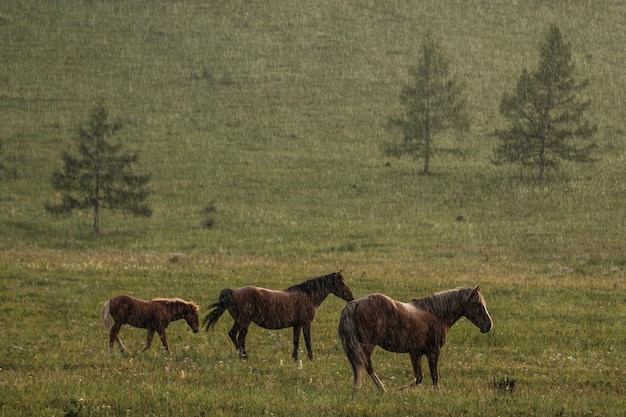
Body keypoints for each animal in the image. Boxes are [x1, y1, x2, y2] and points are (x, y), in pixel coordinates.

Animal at [204, 272, 354, 360]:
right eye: (341, 282)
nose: (351, 297)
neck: (307, 295)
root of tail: (233, 292)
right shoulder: (306, 323)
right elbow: (307, 340)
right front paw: (311, 358)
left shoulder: (297, 325)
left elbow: (296, 341)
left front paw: (295, 358)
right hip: (244, 322)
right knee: (240, 337)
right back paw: (244, 356)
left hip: (240, 321)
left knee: (232, 334)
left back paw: (240, 355)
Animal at [336, 286, 492, 390]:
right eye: (478, 304)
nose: (488, 325)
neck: (436, 315)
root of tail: (355, 303)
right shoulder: (433, 352)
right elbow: (434, 376)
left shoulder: (415, 353)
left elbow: (419, 377)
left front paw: (400, 389)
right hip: (367, 345)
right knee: (366, 365)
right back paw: (382, 388)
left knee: (358, 366)